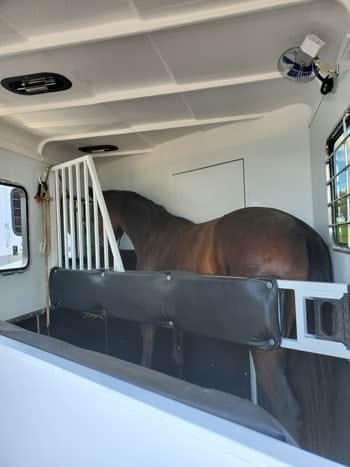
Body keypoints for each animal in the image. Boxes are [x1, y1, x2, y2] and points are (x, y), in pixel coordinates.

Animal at [103, 188, 334, 456]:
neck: (156, 236)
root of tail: (301, 231)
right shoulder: (177, 318)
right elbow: (177, 357)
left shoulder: (148, 319)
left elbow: (147, 358)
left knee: (287, 408)